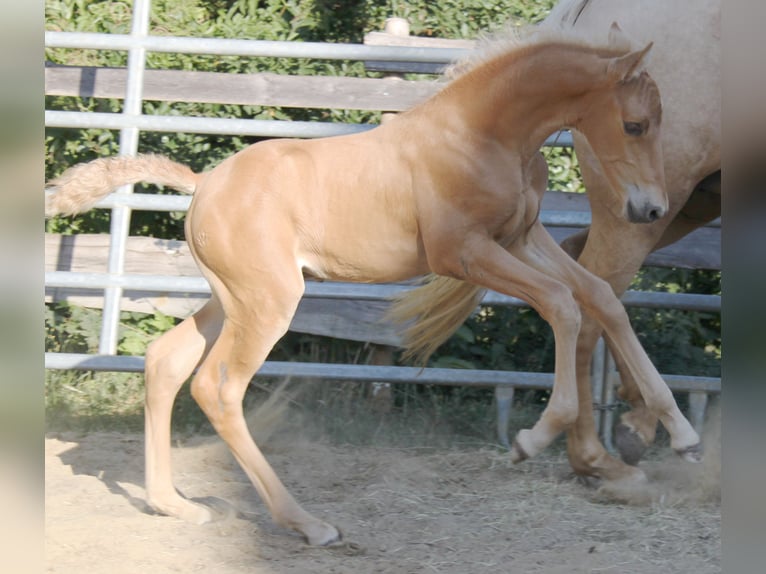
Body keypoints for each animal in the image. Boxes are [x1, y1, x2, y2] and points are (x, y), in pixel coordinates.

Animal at [45, 26, 701, 545]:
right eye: (634, 124)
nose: (650, 209)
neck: (482, 136)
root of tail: (203, 183)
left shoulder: (519, 238)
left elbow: (600, 298)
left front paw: (683, 436)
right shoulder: (464, 253)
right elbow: (563, 305)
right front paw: (532, 438)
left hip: (234, 299)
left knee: (166, 359)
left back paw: (175, 505)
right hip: (268, 304)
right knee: (219, 387)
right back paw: (306, 523)